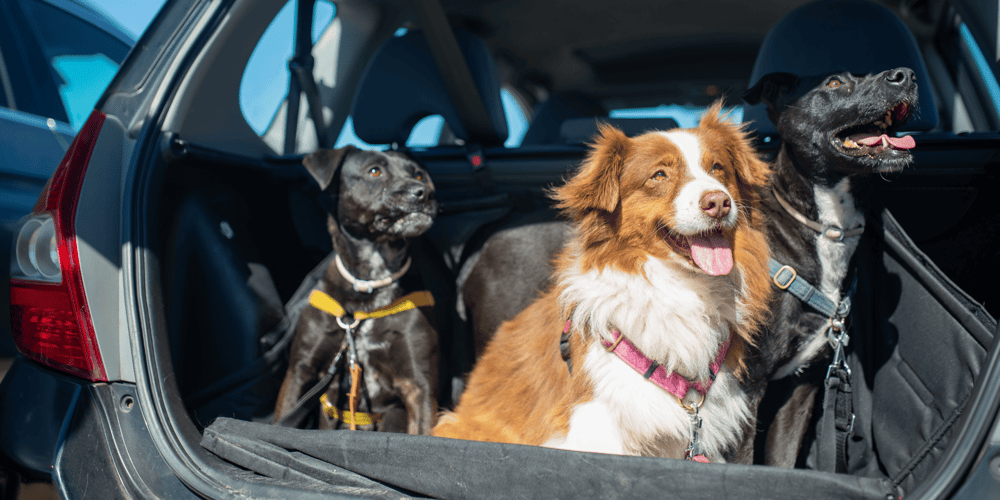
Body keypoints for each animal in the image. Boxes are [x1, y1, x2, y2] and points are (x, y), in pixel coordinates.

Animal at [278, 145, 442, 434]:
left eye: (419, 175)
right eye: (374, 171)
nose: (424, 193)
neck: (370, 286)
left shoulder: (419, 386)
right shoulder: (301, 371)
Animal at [740, 68, 916, 466]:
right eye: (834, 83)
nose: (906, 75)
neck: (830, 229)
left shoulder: (802, 386)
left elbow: (782, 462)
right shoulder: (743, 388)